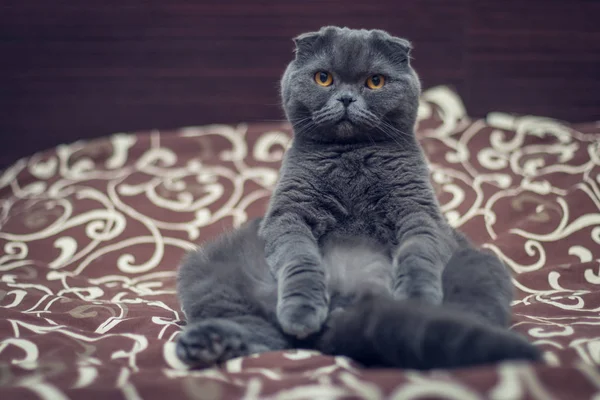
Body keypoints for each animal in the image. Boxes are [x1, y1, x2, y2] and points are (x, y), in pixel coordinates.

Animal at [176, 25, 540, 368]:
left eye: (375, 81)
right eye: (323, 78)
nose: (347, 99)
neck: (351, 156)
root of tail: (349, 299)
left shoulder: (417, 209)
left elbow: (418, 252)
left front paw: (416, 296)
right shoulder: (288, 214)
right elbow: (300, 259)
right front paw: (301, 311)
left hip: (481, 268)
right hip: (207, 268)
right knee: (265, 333)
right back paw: (205, 344)